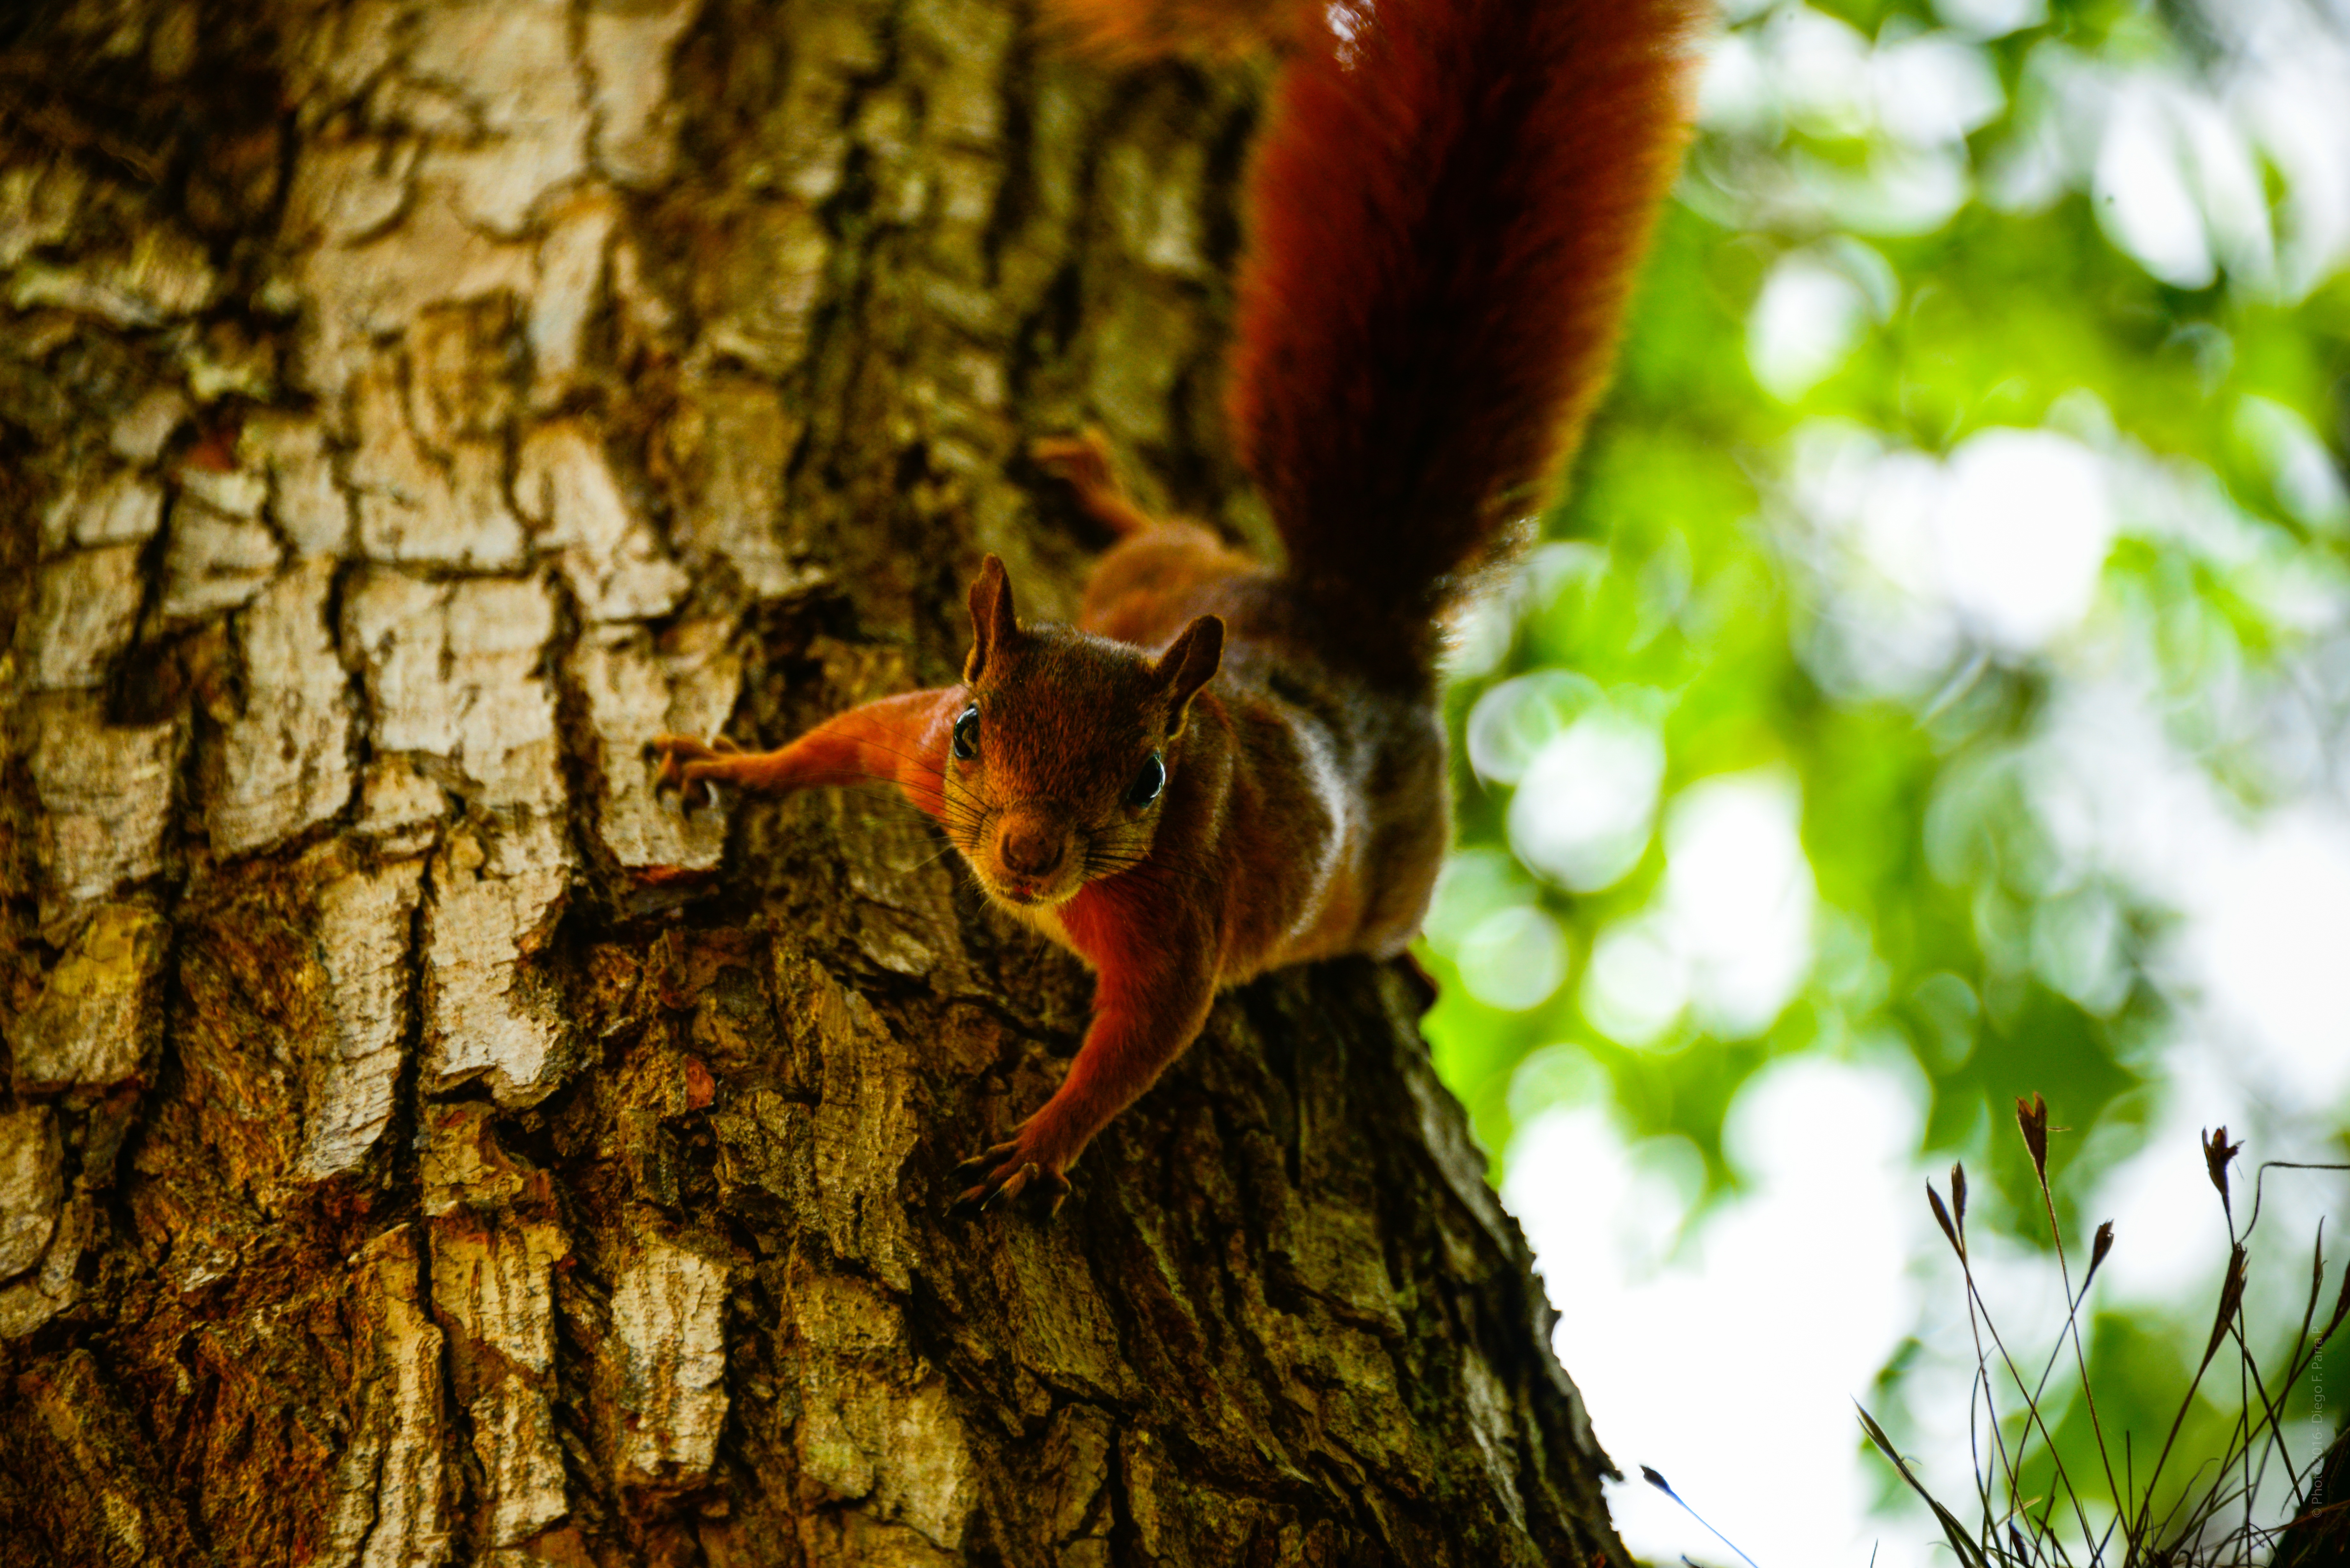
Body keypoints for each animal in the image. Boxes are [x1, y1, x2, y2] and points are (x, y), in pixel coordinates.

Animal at [653, 0, 1701, 1213]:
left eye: (1148, 780)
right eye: (971, 731)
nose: (1026, 855)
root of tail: (1347, 619)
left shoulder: (1177, 923)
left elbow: (1141, 1044)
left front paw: (1039, 1143)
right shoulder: (911, 741)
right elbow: (841, 736)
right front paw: (735, 765)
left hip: (1402, 859)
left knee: (1388, 913)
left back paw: (1405, 958)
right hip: (1157, 577)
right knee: (1165, 533)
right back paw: (1096, 486)